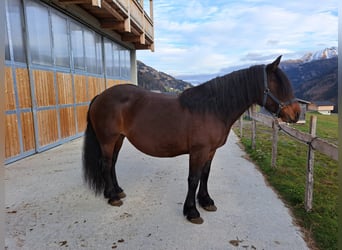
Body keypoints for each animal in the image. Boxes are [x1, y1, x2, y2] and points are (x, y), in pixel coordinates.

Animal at [82, 55, 300, 224]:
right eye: (277, 86)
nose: (296, 114)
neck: (212, 108)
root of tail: (100, 96)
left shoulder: (210, 151)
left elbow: (205, 174)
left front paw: (206, 201)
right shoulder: (198, 151)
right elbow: (193, 179)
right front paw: (192, 211)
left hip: (118, 139)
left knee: (112, 164)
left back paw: (117, 191)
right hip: (108, 140)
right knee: (106, 164)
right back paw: (112, 196)